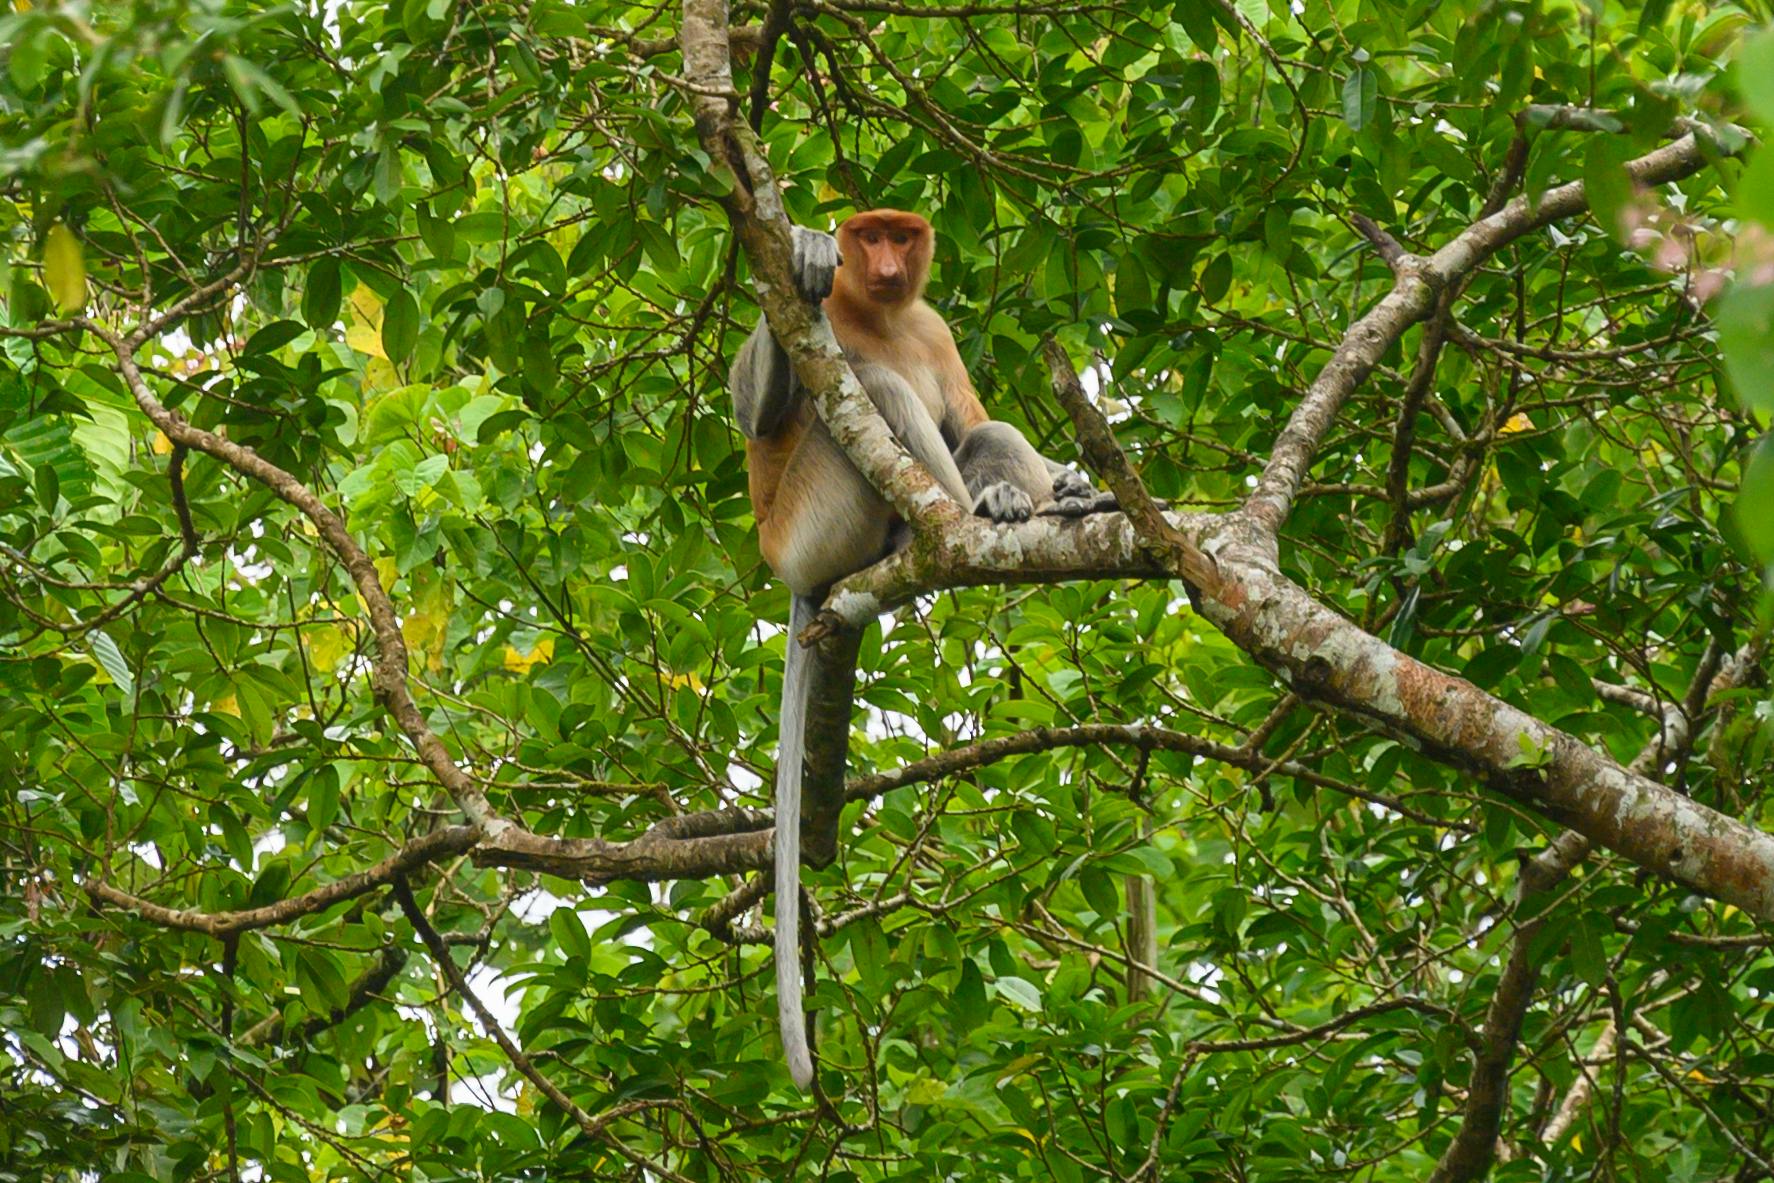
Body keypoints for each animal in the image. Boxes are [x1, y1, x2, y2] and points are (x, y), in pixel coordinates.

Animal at [730, 209, 1105, 1089]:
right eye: (868, 236)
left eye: (902, 235)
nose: (887, 263)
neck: (881, 315)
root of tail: (784, 565)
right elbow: (755, 412)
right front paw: (802, 249)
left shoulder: (932, 328)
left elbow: (974, 414)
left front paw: (1069, 480)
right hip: (814, 523)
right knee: (875, 389)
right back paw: (973, 514)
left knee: (980, 428)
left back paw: (1037, 502)